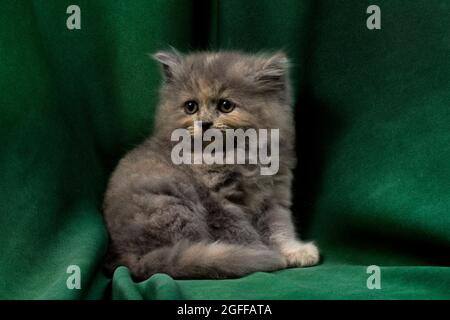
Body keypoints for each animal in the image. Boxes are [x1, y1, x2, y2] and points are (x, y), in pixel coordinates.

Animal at [103, 48, 320, 278]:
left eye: (226, 105)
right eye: (191, 107)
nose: (205, 123)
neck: (241, 156)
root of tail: (133, 260)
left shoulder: (274, 194)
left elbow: (279, 226)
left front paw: (294, 251)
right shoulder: (220, 201)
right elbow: (240, 231)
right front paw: (261, 252)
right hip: (174, 199)